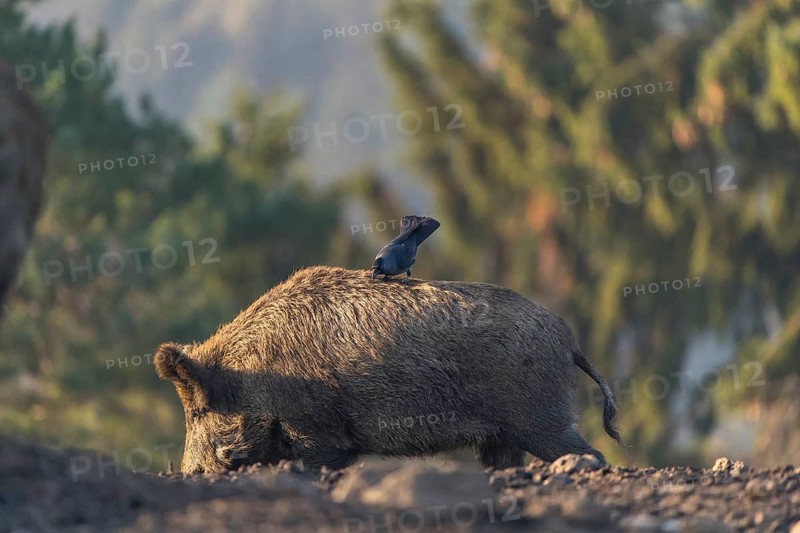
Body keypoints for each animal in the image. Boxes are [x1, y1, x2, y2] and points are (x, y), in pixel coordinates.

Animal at [154, 266, 621, 473]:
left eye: (197, 410)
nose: (190, 471)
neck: (254, 372)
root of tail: (569, 341)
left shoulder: (318, 429)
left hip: (540, 416)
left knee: (590, 452)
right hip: (503, 435)